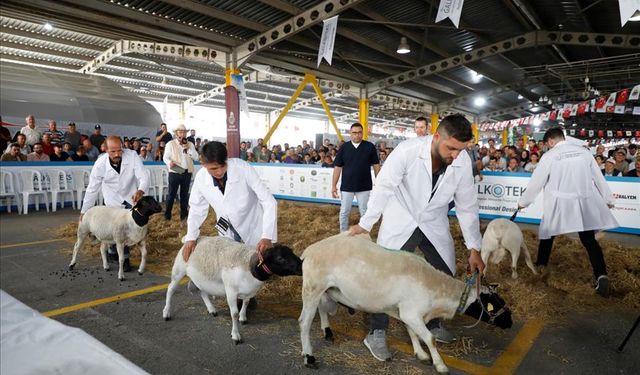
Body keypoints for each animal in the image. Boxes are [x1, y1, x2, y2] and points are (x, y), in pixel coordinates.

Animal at [165, 238, 304, 346]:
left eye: (292, 252)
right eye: (280, 258)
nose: (301, 267)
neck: (248, 264)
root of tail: (191, 240)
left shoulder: (249, 291)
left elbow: (246, 303)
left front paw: (243, 318)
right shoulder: (231, 291)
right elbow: (234, 314)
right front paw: (236, 335)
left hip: (200, 278)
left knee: (202, 292)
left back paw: (211, 309)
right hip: (178, 270)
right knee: (170, 290)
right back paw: (166, 313)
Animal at [298, 234, 512, 374]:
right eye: (494, 303)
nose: (510, 323)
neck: (438, 291)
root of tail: (309, 251)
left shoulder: (406, 311)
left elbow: (412, 332)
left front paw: (421, 354)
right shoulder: (412, 312)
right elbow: (430, 338)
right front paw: (440, 365)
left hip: (326, 290)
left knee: (322, 309)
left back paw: (327, 332)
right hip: (312, 287)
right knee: (304, 322)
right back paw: (309, 357)